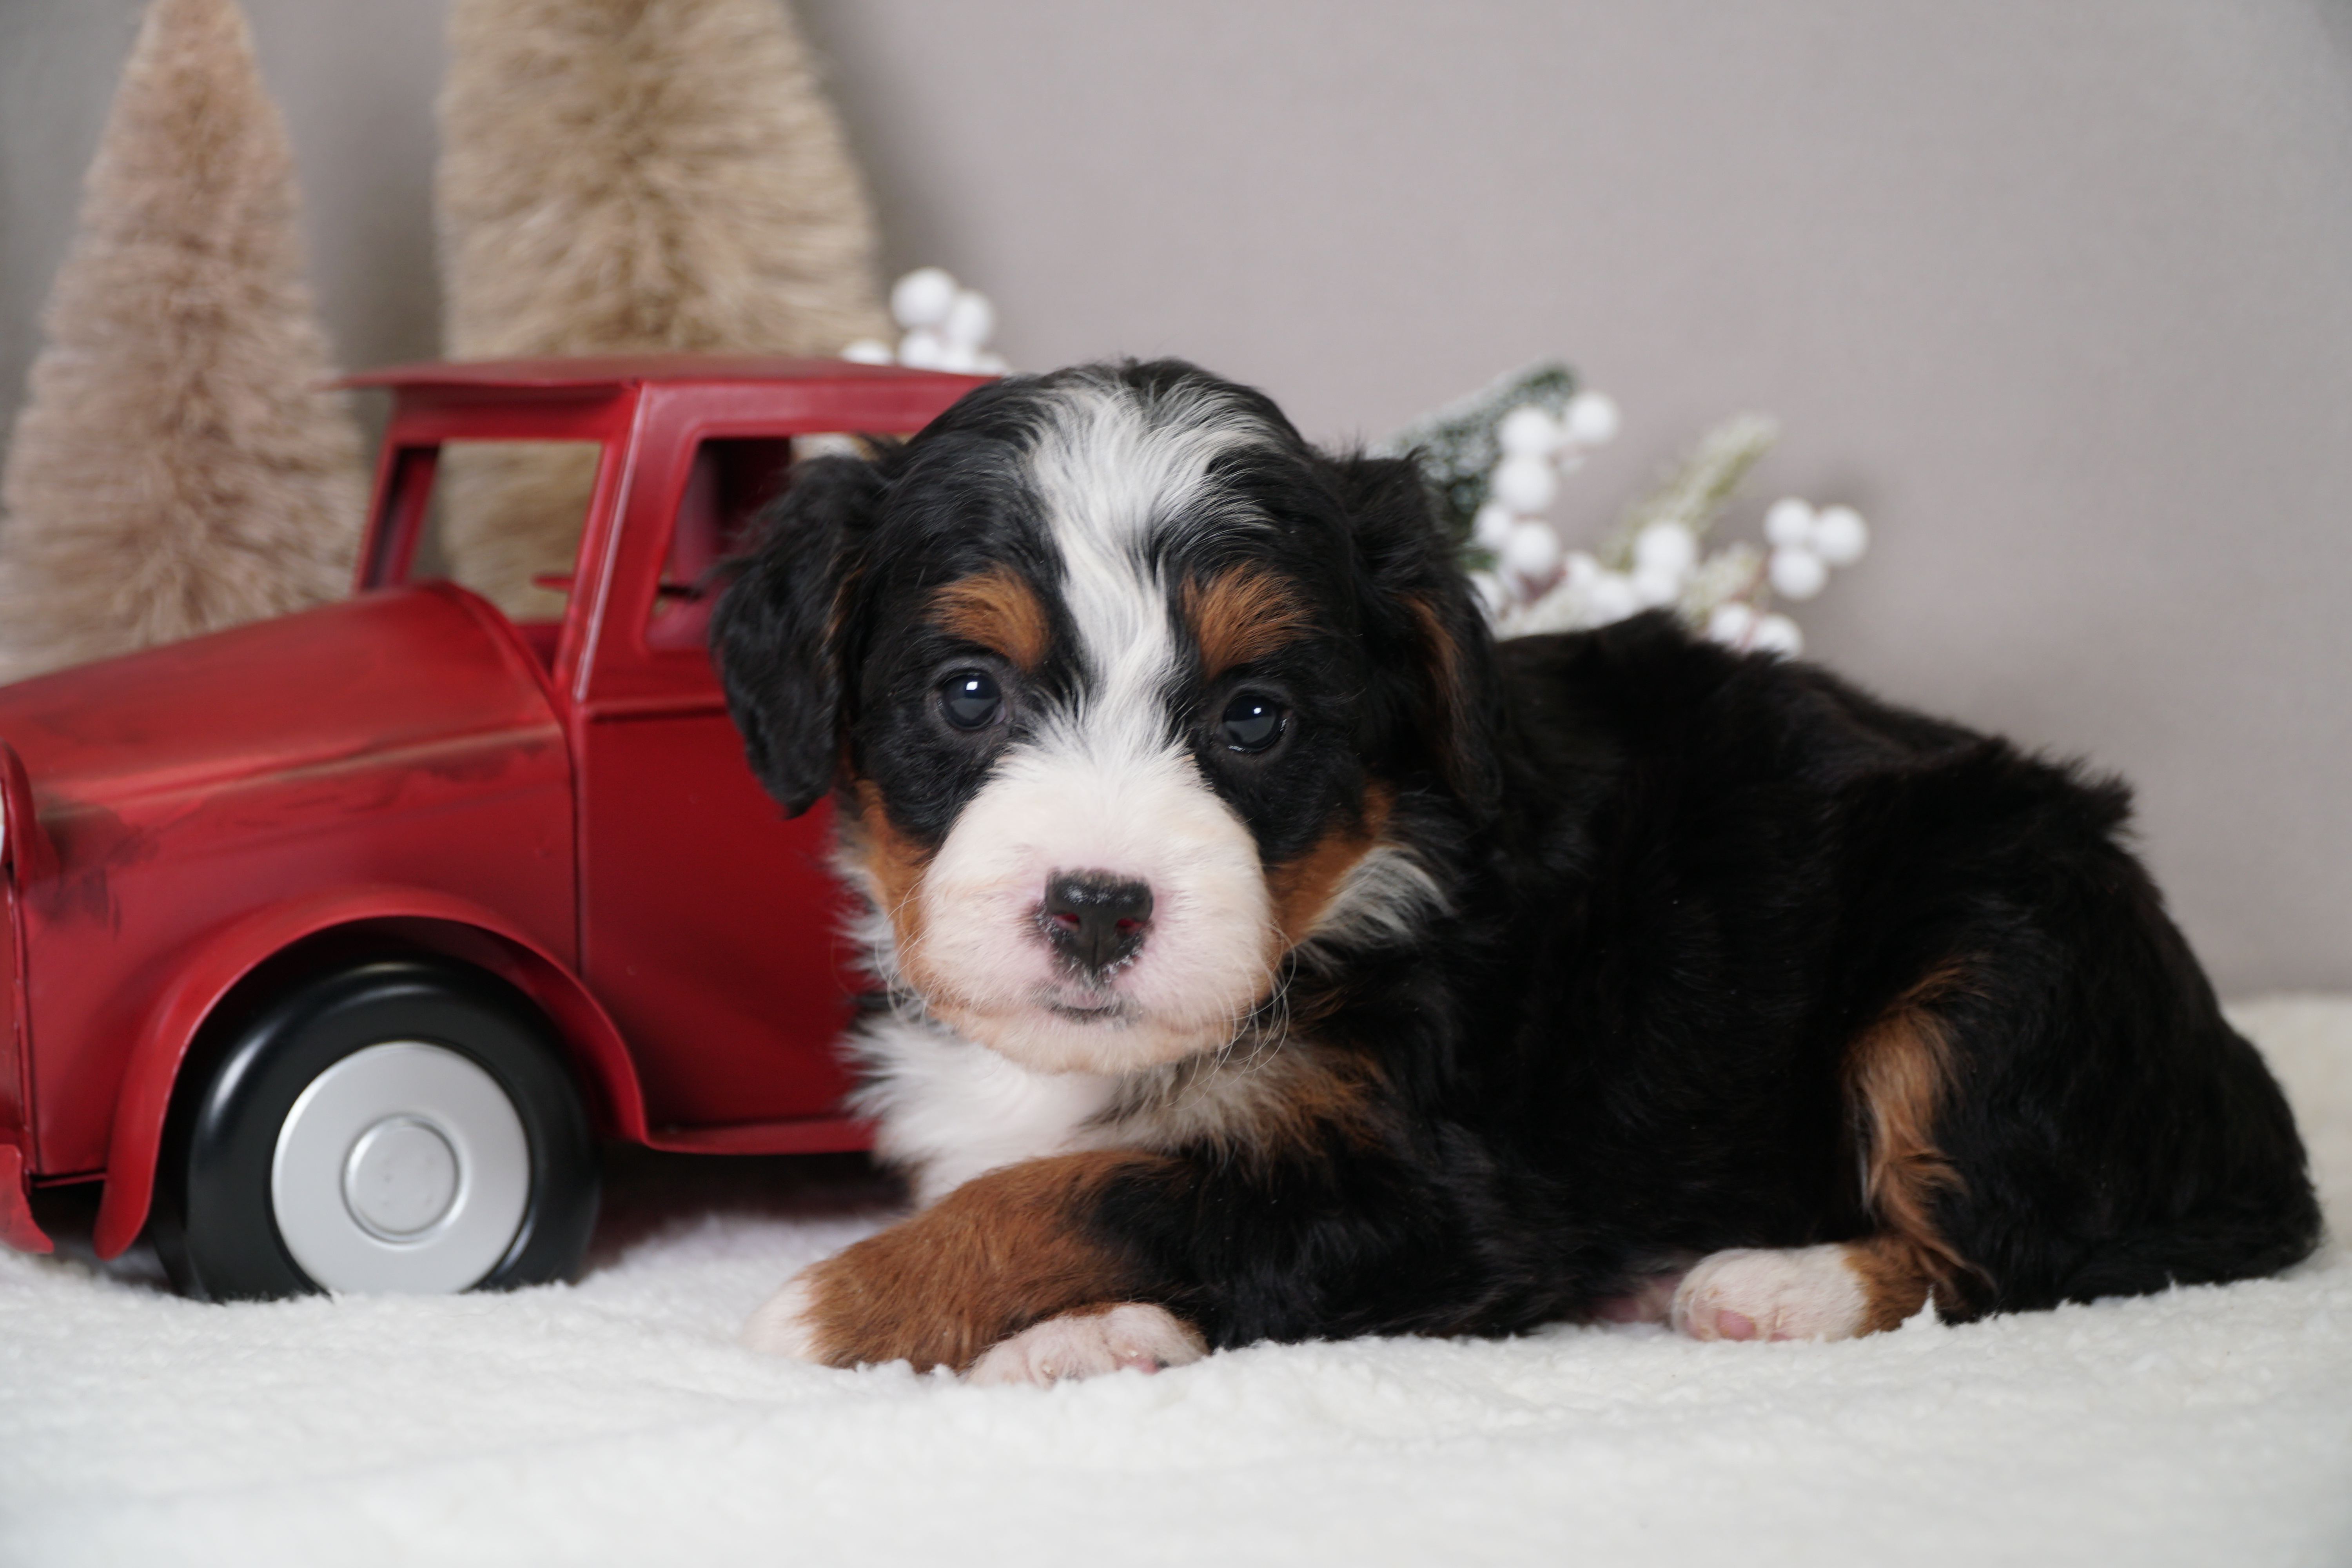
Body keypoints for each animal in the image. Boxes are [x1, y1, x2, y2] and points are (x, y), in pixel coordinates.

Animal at [706, 359, 2324, 1382]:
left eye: (1254, 717)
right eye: (968, 694)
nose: (1098, 906)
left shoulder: (1447, 1188)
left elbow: (1110, 1187)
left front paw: (851, 1300)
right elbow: (1099, 1175)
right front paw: (1070, 1332)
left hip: (1992, 951)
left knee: (2008, 1246)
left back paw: (1774, 1279)